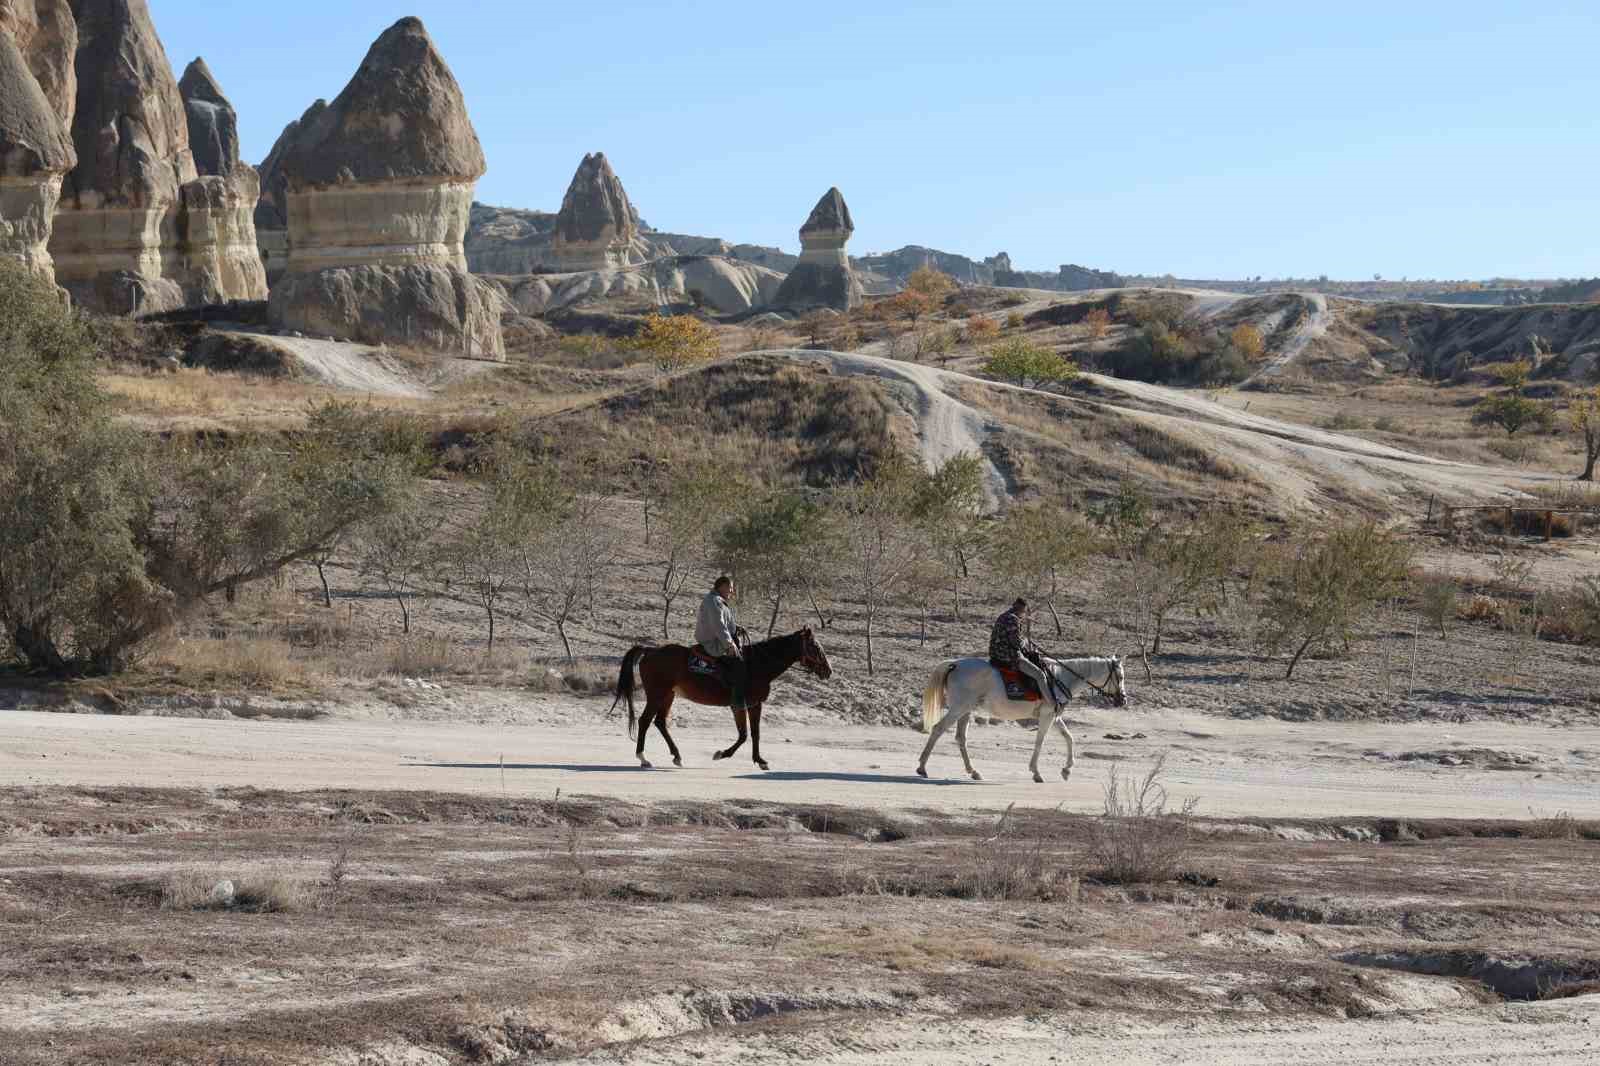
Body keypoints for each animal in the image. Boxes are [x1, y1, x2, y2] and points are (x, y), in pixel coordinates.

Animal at [611, 627, 838, 768]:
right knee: (645, 721)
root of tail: (650, 650)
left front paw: (760, 760)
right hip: (657, 694)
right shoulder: (738, 704)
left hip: (669, 695)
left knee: (659, 722)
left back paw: (677, 756)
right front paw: (721, 754)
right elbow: (743, 734)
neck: (757, 665)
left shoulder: (755, 705)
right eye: (815, 646)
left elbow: (755, 733)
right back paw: (643, 758)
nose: (829, 670)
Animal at [921, 656, 1132, 781]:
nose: (1123, 700)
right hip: (959, 708)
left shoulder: (1055, 717)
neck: (1059, 678)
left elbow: (1069, 738)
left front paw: (1067, 770)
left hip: (966, 710)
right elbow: (1040, 741)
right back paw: (922, 767)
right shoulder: (1047, 716)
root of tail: (955, 664)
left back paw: (973, 771)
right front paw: (1036, 772)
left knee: (961, 738)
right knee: (938, 729)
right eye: (1120, 676)